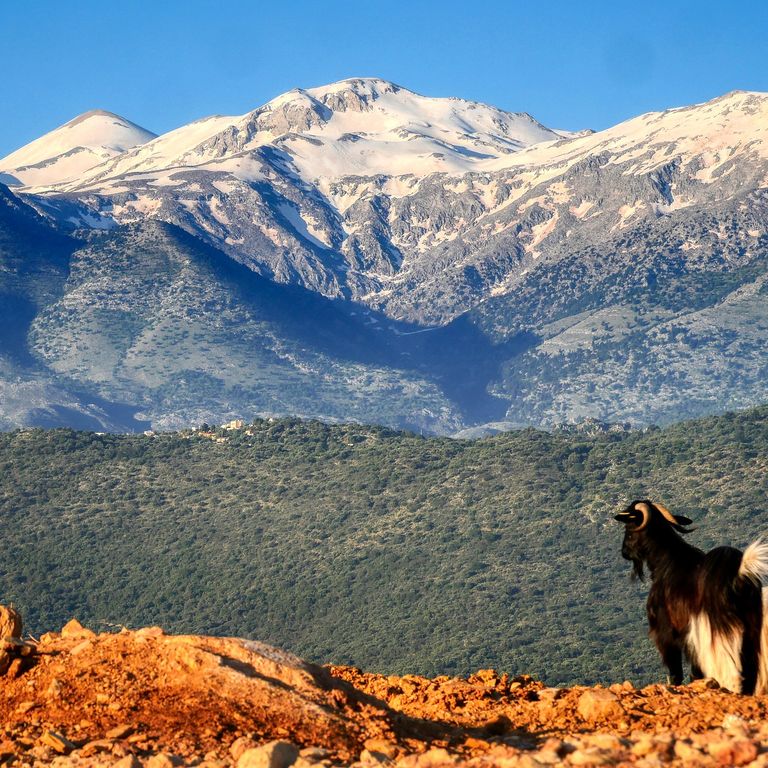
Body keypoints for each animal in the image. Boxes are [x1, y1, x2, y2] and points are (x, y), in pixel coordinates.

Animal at [616, 500, 768, 692]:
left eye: (628, 528)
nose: (624, 552)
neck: (665, 562)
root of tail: (739, 575)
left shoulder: (668, 631)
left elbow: (676, 670)